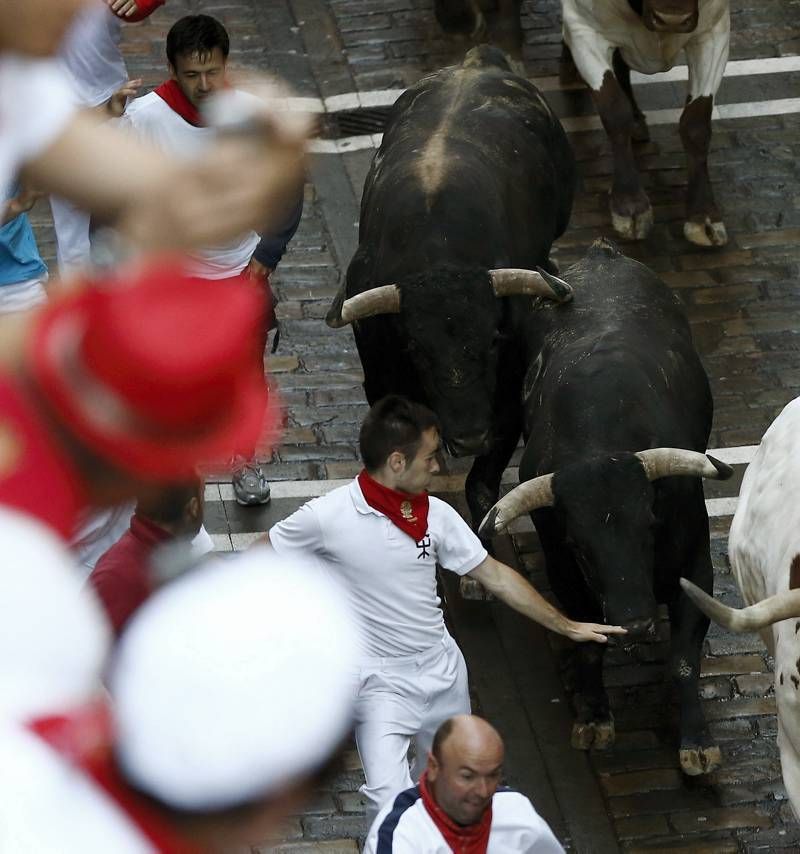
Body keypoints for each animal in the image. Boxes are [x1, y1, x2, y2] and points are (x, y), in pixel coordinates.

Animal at [324, 46, 576, 532]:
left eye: (493, 340)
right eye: (416, 349)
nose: (470, 436)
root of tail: (476, 61)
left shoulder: (508, 395)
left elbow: (482, 487)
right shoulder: (381, 376)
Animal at [478, 239, 736, 776]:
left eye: (651, 524)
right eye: (578, 545)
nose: (635, 624)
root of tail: (602, 254)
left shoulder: (697, 566)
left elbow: (684, 660)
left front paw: (696, 741)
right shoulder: (566, 575)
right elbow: (586, 645)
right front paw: (594, 717)